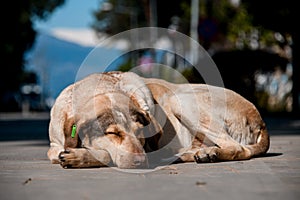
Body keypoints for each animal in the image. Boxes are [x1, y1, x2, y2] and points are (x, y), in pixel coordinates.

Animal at [47, 71, 270, 168]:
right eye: (112, 133)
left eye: (140, 132)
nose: (140, 160)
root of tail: (261, 121)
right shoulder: (53, 146)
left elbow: (106, 154)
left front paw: (79, 157)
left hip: (181, 100)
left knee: (238, 148)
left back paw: (210, 152)